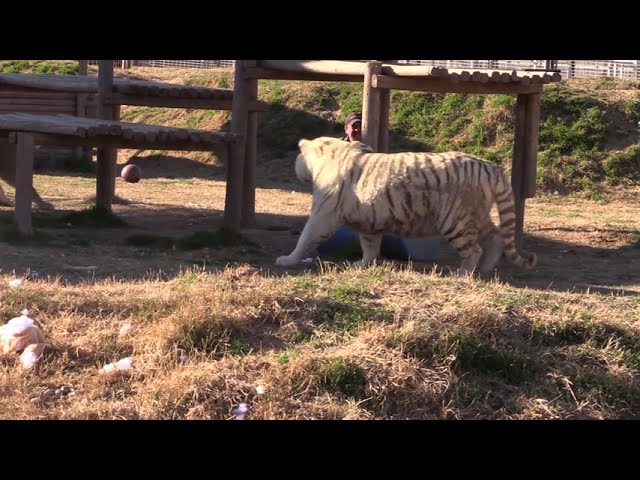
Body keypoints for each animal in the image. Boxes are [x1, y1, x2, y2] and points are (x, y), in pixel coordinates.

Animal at [275, 136, 537, 275]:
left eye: (300, 153)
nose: (297, 153)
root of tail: (490, 166)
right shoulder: (369, 222)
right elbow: (370, 246)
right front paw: (362, 263)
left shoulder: (323, 213)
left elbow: (306, 237)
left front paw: (287, 259)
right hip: (478, 214)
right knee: (496, 236)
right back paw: (485, 269)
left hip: (456, 219)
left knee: (473, 249)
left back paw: (462, 274)